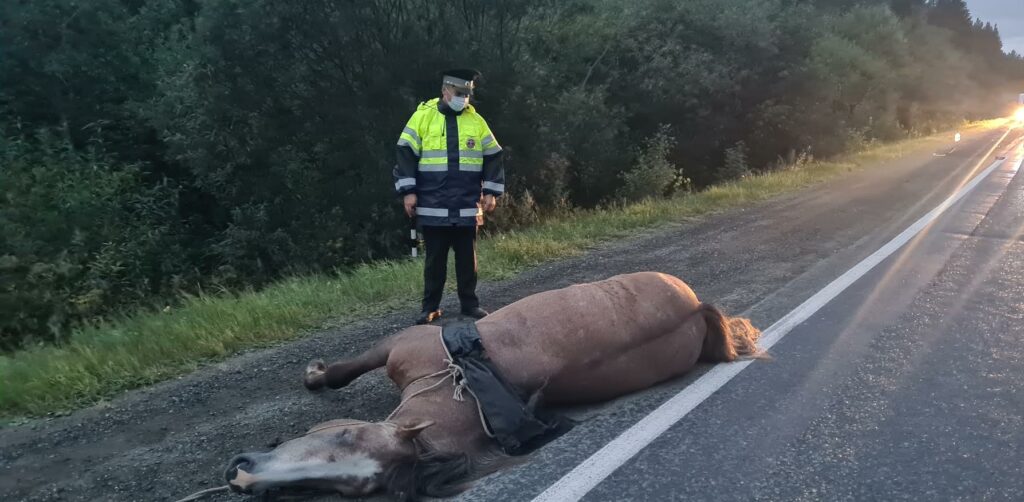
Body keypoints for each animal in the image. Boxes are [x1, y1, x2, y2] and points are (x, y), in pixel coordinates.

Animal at [228, 272, 765, 499]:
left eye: (347, 436)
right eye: (347, 486)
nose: (241, 475)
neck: (465, 382)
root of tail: (695, 306)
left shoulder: (399, 346)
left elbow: (344, 370)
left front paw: (316, 374)